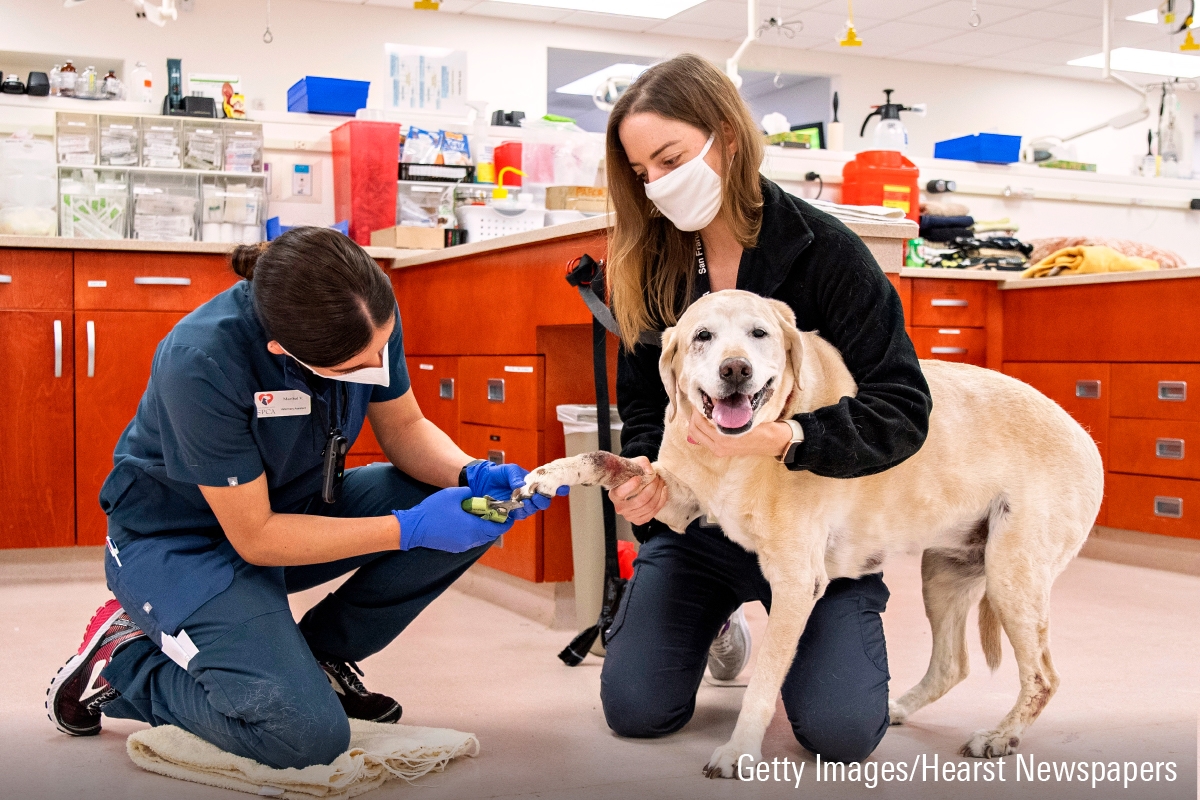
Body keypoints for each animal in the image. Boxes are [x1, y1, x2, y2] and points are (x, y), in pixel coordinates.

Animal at [516, 291, 1104, 777]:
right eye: (703, 336)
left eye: (759, 334)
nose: (736, 369)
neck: (738, 457)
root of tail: (1084, 434)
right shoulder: (679, 498)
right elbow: (604, 458)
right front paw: (549, 474)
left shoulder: (797, 584)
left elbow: (763, 682)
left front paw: (739, 752)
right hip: (944, 573)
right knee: (952, 664)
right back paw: (900, 708)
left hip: (1011, 578)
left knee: (1043, 677)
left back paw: (1001, 736)